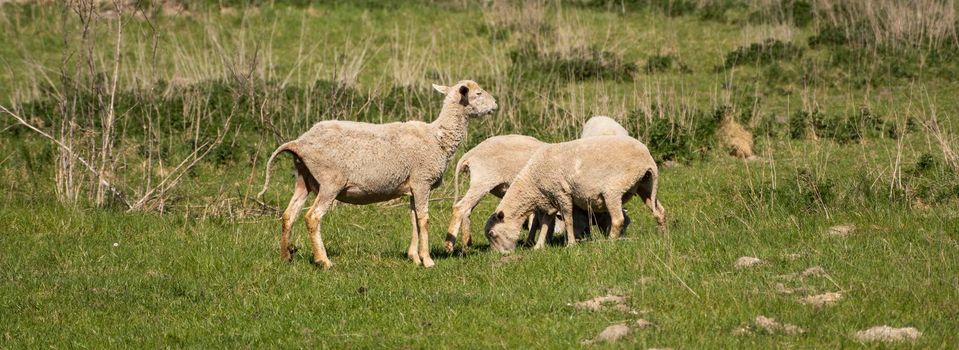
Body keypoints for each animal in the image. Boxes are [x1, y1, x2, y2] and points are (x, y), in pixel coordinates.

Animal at [256, 81, 496, 268]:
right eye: (478, 93)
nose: (495, 105)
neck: (438, 138)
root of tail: (299, 143)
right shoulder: (422, 181)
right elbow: (424, 220)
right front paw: (427, 260)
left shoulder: (412, 186)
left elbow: (413, 220)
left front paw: (414, 257)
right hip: (330, 181)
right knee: (312, 217)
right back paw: (323, 261)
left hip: (304, 178)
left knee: (289, 214)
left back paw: (285, 256)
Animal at [488, 135, 668, 253]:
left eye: (492, 234)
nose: (500, 256)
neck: (533, 182)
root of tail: (647, 158)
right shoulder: (550, 200)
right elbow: (545, 224)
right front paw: (538, 247)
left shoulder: (562, 194)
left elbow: (568, 220)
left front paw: (571, 244)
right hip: (645, 185)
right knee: (660, 211)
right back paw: (663, 236)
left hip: (613, 190)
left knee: (618, 219)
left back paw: (610, 243)